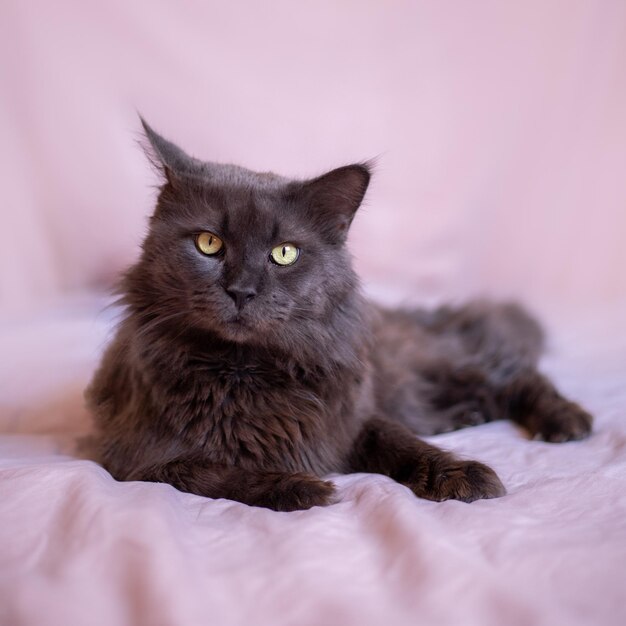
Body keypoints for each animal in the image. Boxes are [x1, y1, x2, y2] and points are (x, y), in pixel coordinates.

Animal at [85, 119, 592, 510]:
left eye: (284, 253)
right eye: (209, 244)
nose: (241, 291)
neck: (245, 371)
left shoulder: (353, 421)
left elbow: (400, 442)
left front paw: (461, 473)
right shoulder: (140, 462)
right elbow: (217, 474)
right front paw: (300, 488)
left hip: (437, 366)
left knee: (516, 373)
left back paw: (566, 421)